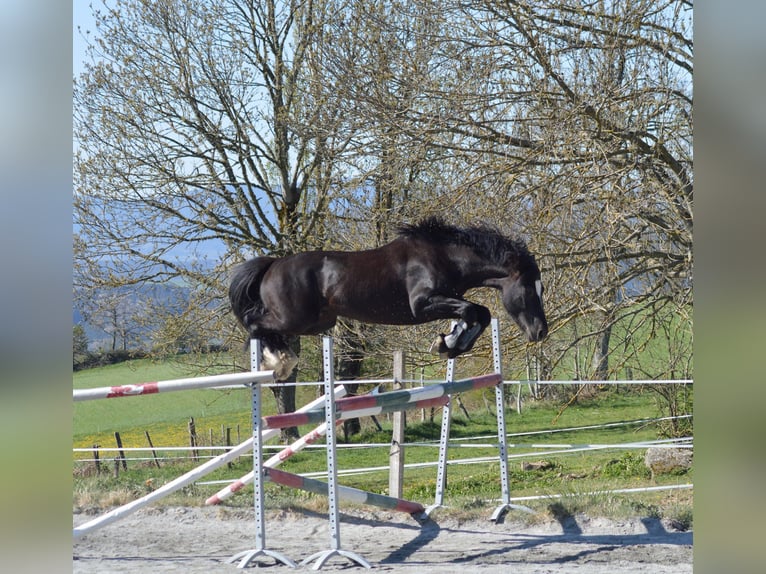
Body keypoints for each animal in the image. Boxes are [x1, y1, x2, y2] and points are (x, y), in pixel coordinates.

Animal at [231, 218, 548, 380]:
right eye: (528, 290)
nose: (540, 332)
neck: (446, 256)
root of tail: (273, 264)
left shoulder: (446, 300)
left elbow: (477, 314)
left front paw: (450, 343)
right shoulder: (423, 304)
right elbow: (474, 311)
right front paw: (447, 344)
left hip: (317, 322)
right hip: (295, 317)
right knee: (254, 323)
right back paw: (277, 363)